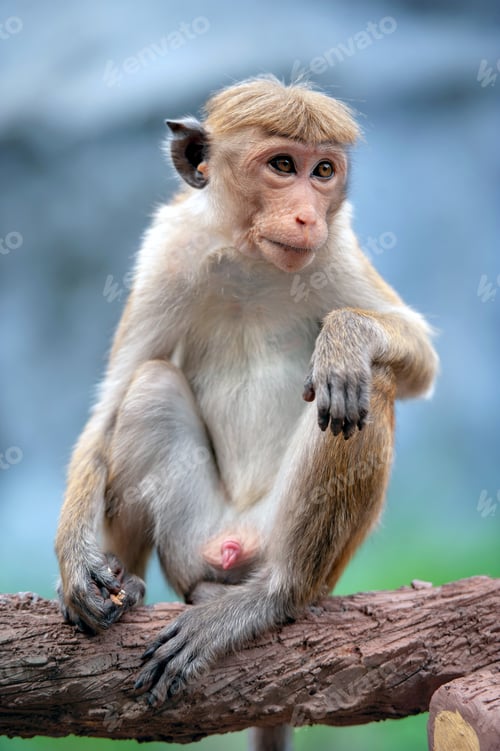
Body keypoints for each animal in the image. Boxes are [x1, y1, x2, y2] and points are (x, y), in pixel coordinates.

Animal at [55, 76, 438, 749]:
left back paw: (266, 601)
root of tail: (234, 545)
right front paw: (77, 567)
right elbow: (114, 397)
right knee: (150, 385)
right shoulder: (168, 249)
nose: (307, 213)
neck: (254, 256)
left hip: (288, 545)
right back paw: (133, 583)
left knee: (371, 387)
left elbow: (417, 360)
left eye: (324, 170)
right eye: (283, 165)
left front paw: (346, 338)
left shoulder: (336, 248)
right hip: (192, 538)